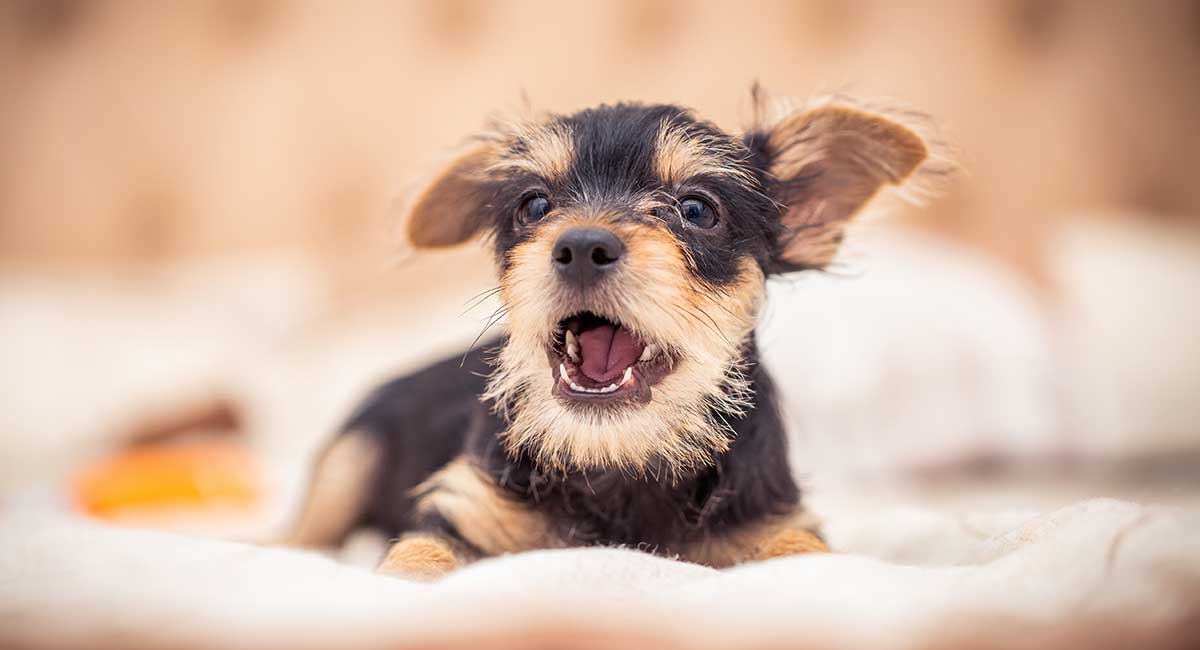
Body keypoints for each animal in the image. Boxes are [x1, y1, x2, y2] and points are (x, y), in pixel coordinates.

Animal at [288, 91, 926, 580]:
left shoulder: (769, 521)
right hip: (352, 453)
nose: (581, 246)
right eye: (534, 205)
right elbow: (417, 558)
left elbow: (806, 553)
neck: (616, 459)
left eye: (697, 210)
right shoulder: (466, 511)